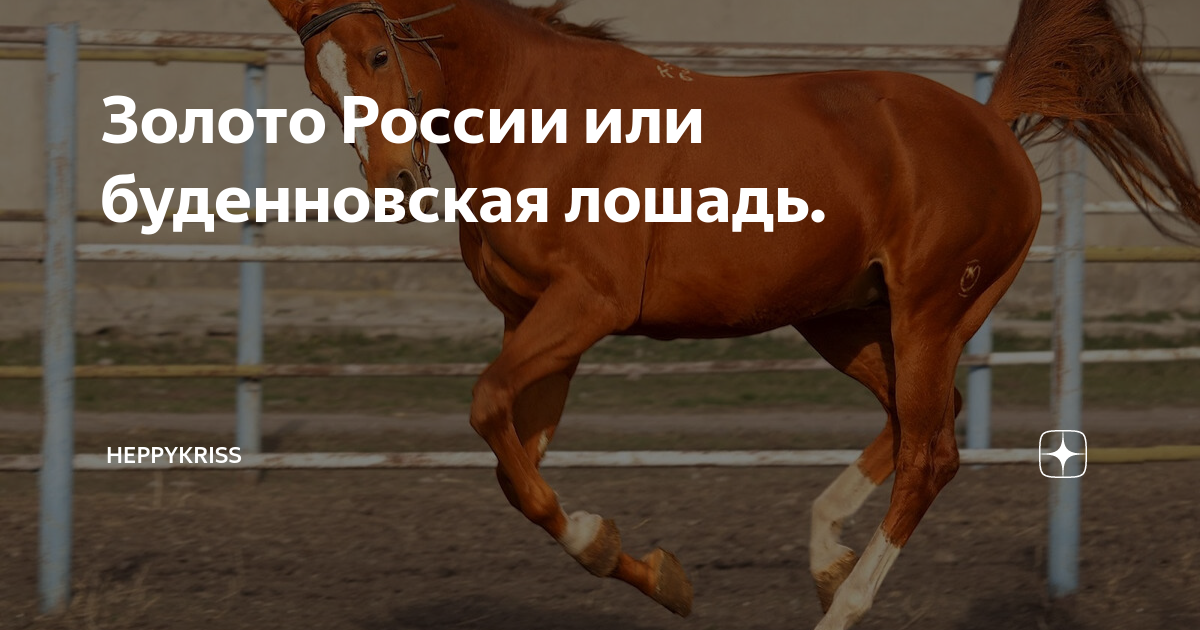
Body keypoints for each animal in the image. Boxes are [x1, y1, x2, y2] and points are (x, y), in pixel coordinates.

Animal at [265, 0, 1200, 627]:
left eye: (378, 55)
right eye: (319, 85)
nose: (393, 178)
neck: (540, 115)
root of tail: (992, 124)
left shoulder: (586, 306)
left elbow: (487, 406)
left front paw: (610, 546)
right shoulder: (534, 320)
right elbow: (515, 464)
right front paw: (652, 572)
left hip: (930, 312)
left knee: (932, 453)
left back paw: (842, 604)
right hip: (845, 319)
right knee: (916, 425)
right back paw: (826, 558)